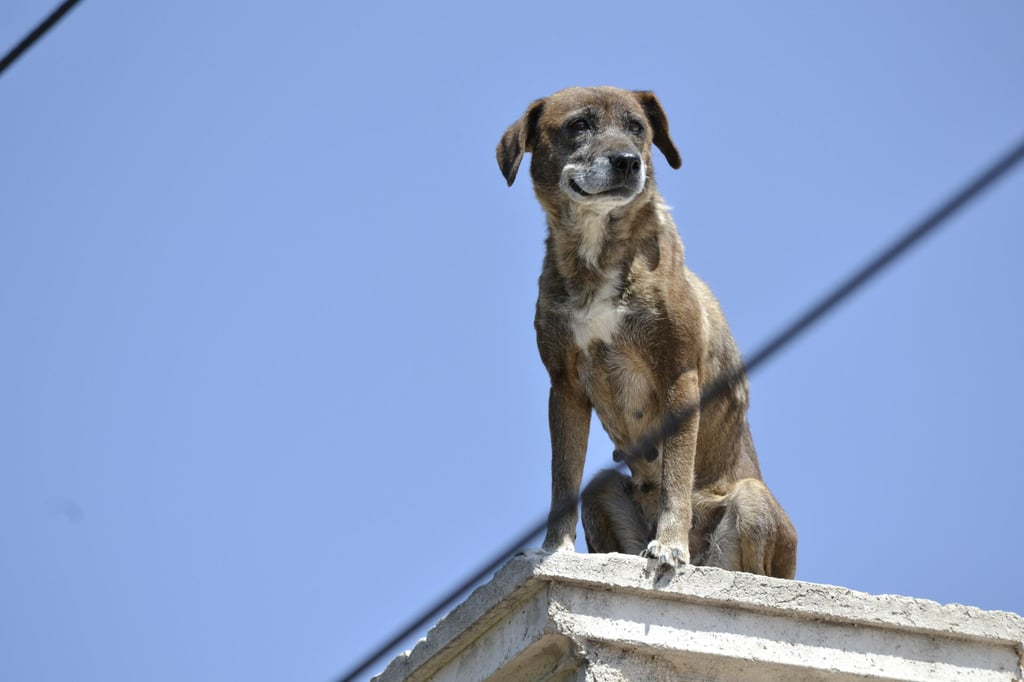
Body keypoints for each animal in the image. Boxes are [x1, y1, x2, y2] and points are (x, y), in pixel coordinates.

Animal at [495, 83, 798, 573]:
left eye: (637, 127)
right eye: (580, 124)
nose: (627, 161)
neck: (598, 255)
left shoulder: (678, 374)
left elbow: (675, 472)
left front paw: (670, 545)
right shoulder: (564, 387)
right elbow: (563, 481)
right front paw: (554, 549)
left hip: (750, 502)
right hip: (601, 489)